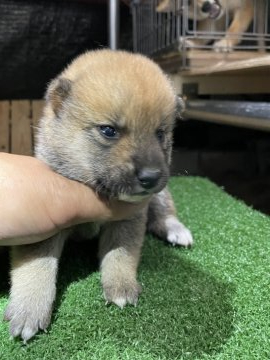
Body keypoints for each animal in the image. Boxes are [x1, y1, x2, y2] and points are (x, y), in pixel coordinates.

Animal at [5, 49, 193, 342]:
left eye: (161, 133)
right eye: (108, 130)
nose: (151, 177)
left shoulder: (129, 219)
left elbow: (121, 254)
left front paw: (121, 286)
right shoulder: (47, 228)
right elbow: (37, 264)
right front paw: (29, 308)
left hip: (161, 196)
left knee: (164, 211)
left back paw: (176, 230)